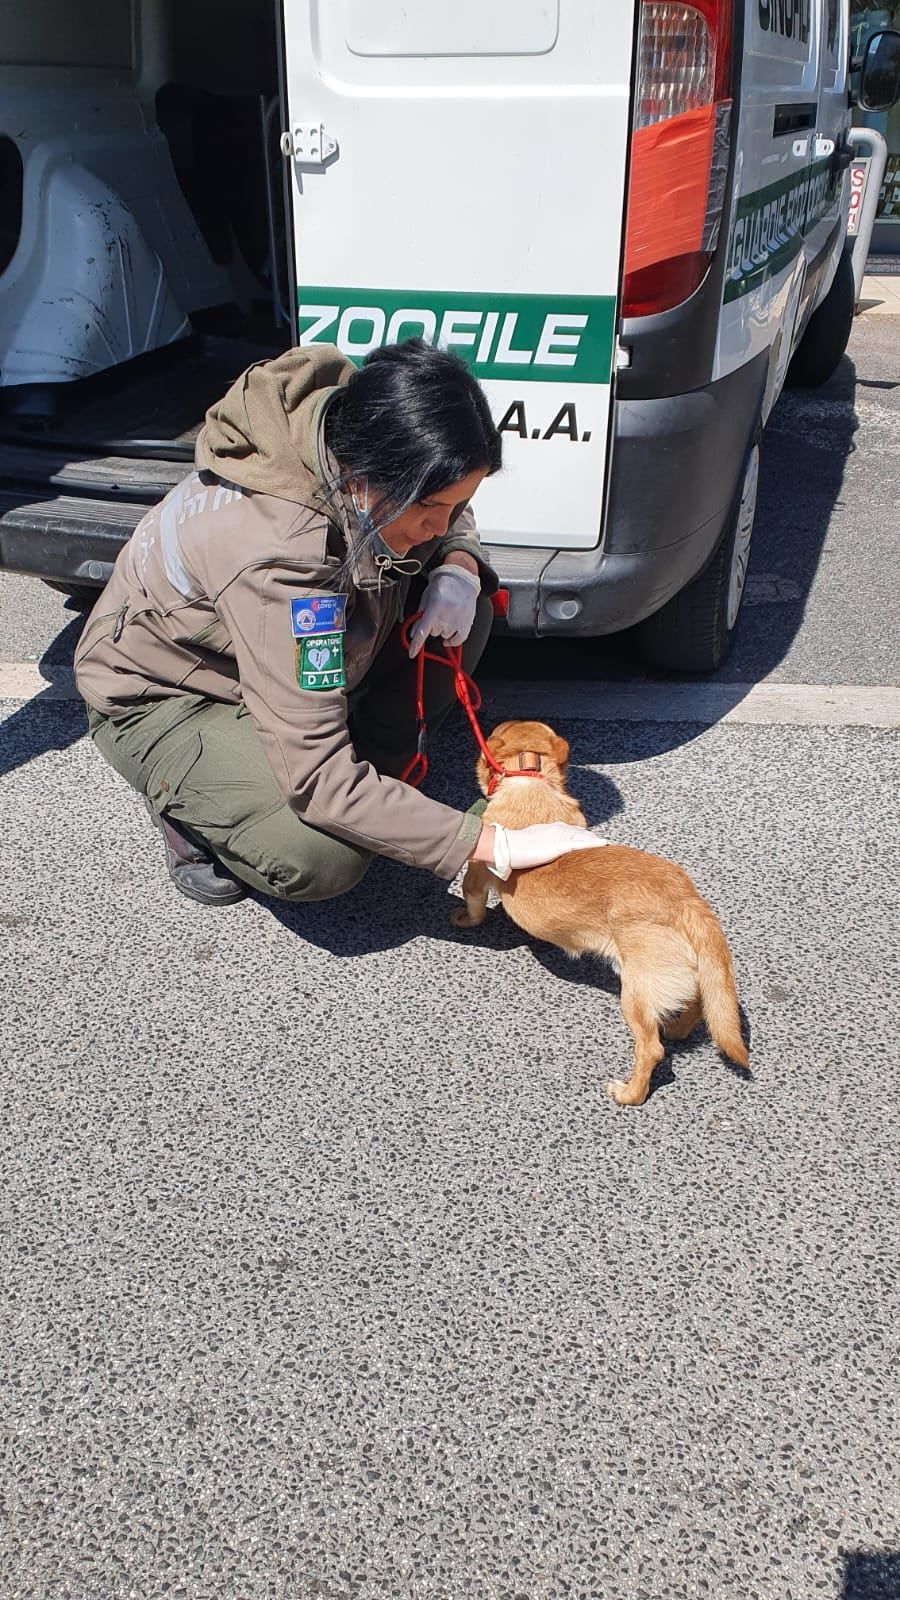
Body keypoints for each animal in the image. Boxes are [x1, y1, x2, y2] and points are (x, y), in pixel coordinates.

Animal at [451, 723, 746, 1107]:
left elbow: (473, 905)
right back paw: (677, 1029)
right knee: (699, 1006)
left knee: (651, 1049)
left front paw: (463, 919)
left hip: (634, 992)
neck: (530, 775)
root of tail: (685, 900)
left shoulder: (476, 873)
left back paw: (630, 1093)